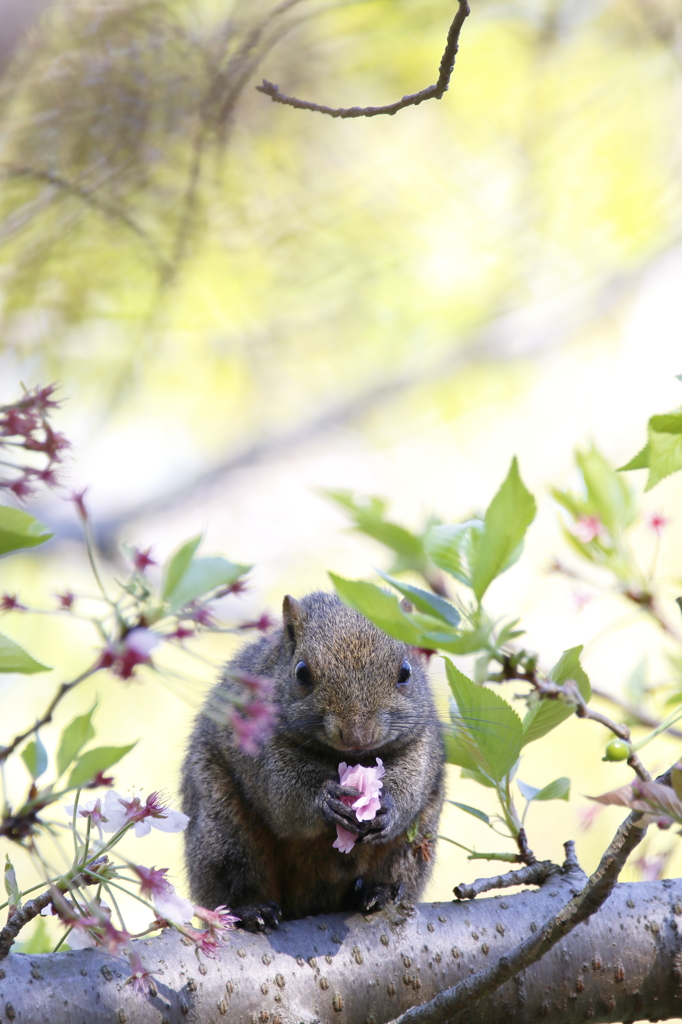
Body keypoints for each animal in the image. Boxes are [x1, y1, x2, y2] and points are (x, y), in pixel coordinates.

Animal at [180, 589, 444, 933]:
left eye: (406, 672)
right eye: (301, 672)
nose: (358, 734)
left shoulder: (421, 739)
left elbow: (413, 777)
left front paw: (389, 807)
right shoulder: (258, 743)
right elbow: (282, 793)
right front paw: (325, 798)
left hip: (413, 846)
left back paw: (378, 892)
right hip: (223, 835)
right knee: (233, 879)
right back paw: (251, 910)